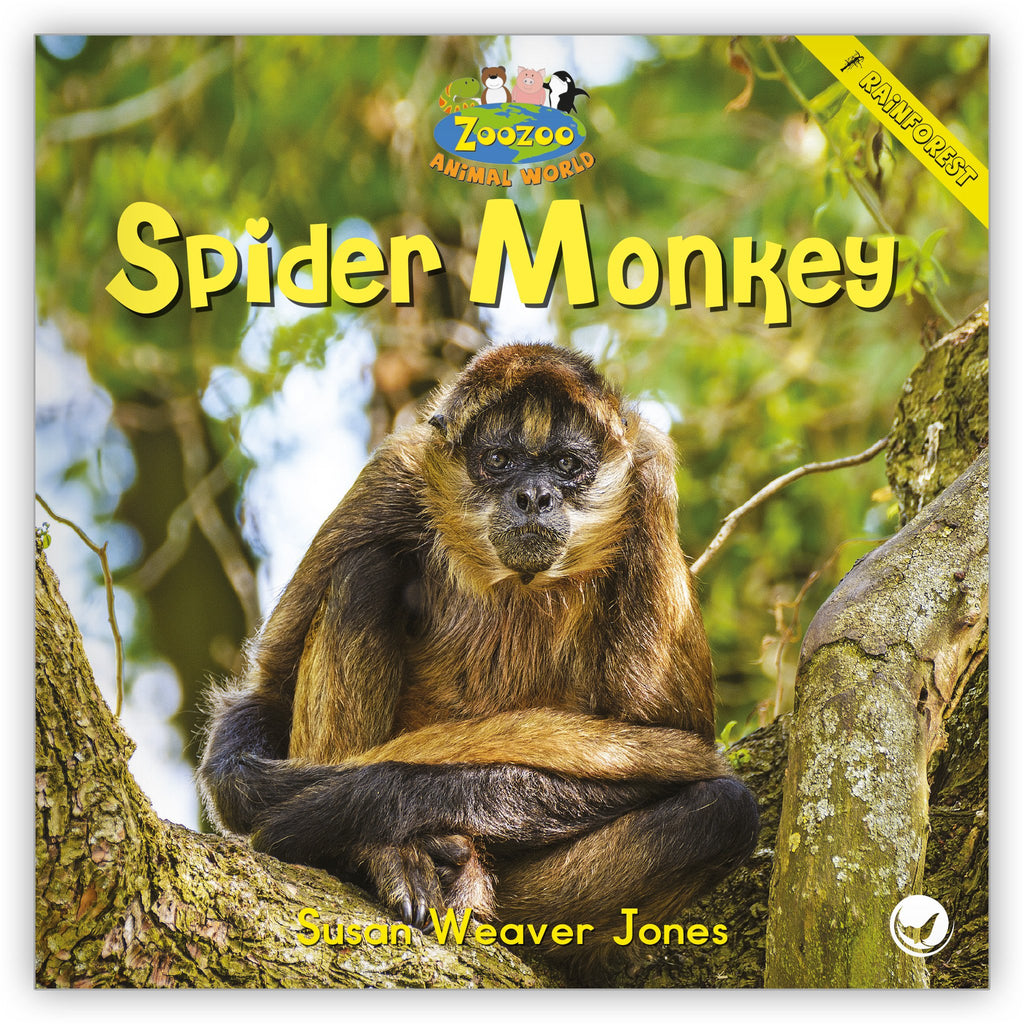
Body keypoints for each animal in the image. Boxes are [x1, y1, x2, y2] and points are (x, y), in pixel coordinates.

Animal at [198, 342, 759, 983]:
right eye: (498, 460)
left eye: (567, 465)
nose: (535, 496)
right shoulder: (394, 472)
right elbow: (265, 698)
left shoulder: (650, 484)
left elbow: (678, 751)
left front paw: (360, 800)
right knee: (365, 570)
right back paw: (376, 857)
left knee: (724, 812)